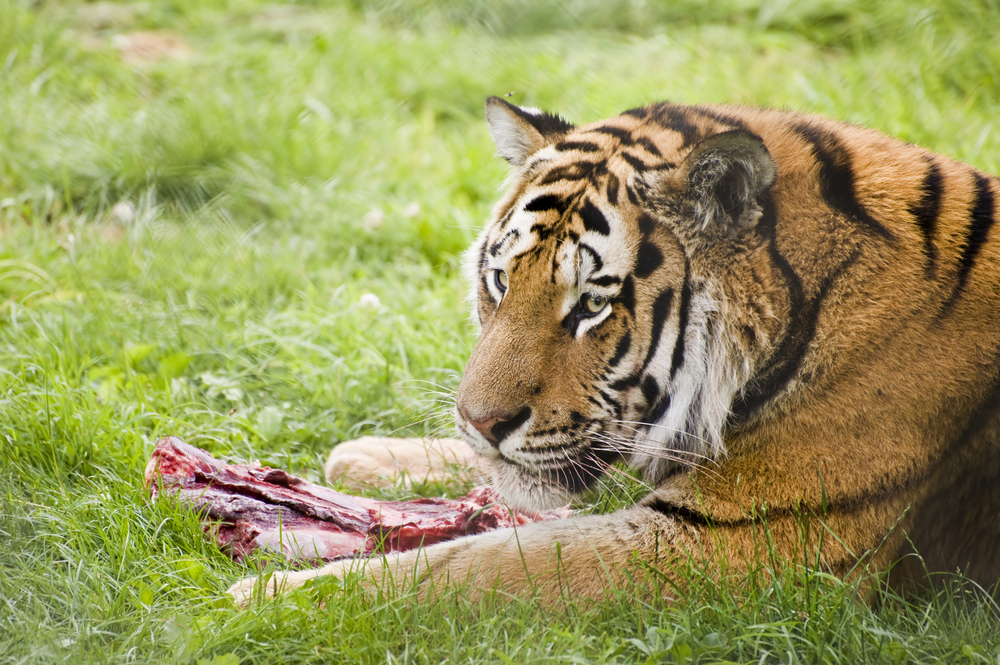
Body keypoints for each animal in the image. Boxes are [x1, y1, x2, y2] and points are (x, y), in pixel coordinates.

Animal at [227, 97, 1000, 600]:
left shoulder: (736, 541)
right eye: (500, 281)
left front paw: (267, 601)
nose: (480, 420)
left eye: (591, 306)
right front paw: (367, 457)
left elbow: (476, 568)